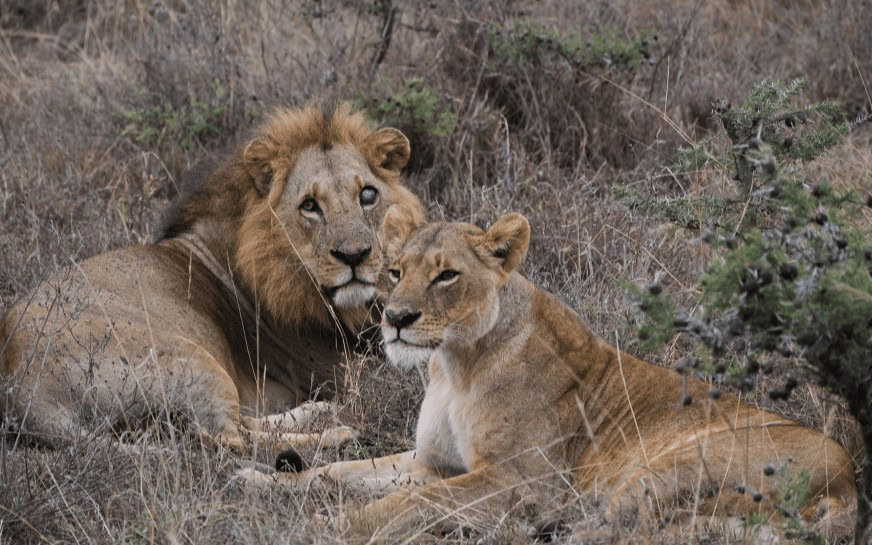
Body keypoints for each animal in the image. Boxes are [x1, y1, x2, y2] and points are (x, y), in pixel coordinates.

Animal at [0, 103, 425, 454]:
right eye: (309, 206)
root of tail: (27, 398)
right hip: (192, 360)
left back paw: (317, 412)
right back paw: (338, 434)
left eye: (368, 195)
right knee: (227, 438)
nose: (355, 255)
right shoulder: (339, 371)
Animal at [237, 208, 857, 538]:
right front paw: (262, 481)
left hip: (662, 468)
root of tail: (848, 484)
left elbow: (409, 504)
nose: (396, 318)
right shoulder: (432, 462)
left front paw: (335, 528)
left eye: (446, 276)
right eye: (395, 271)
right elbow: (338, 471)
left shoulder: (518, 482)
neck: (455, 366)